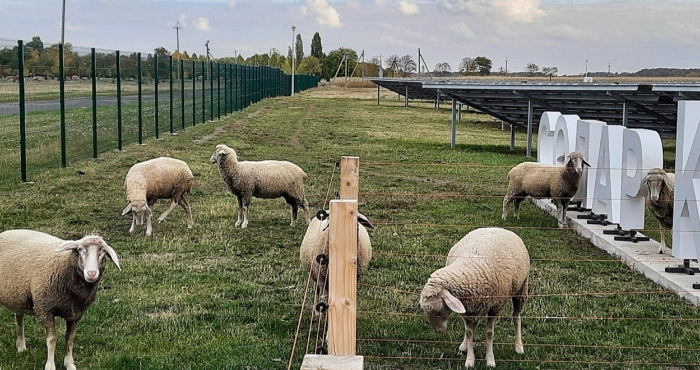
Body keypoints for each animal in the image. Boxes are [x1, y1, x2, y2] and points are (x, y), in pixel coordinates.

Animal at [0, 228, 121, 370]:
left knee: (19, 318)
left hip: (18, 295)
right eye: (80, 250)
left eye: (102, 252)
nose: (91, 273)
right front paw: (50, 365)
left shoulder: (75, 313)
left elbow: (70, 338)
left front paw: (69, 363)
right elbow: (51, 340)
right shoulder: (45, 309)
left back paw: (21, 346)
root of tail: (6, 232)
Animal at [418, 227, 528, 368]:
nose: (439, 330)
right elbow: (469, 332)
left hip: (521, 288)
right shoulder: (469, 308)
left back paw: (519, 346)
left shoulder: (495, 307)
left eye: (438, 312)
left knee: (516, 316)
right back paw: (464, 345)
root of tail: (497, 227)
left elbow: (489, 333)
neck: (469, 267)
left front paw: (490, 359)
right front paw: (470, 359)